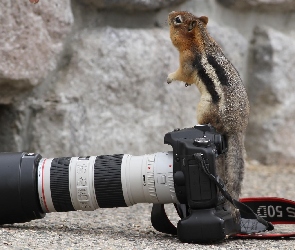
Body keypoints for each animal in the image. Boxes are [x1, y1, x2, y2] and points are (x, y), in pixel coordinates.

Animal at [166, 11, 250, 215]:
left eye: (178, 20)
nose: (169, 14)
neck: (201, 39)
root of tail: (237, 128)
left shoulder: (187, 61)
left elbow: (182, 73)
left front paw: (170, 77)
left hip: (204, 108)